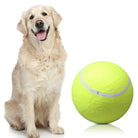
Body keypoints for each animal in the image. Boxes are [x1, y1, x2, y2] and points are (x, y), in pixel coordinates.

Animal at [4, 4, 67, 137]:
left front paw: (54, 128)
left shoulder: (55, 90)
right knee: (14, 120)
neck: (44, 53)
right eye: (31, 17)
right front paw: (32, 131)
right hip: (8, 105)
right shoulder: (28, 92)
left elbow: (52, 112)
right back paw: (18, 126)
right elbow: (30, 114)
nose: (39, 23)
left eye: (44, 14)